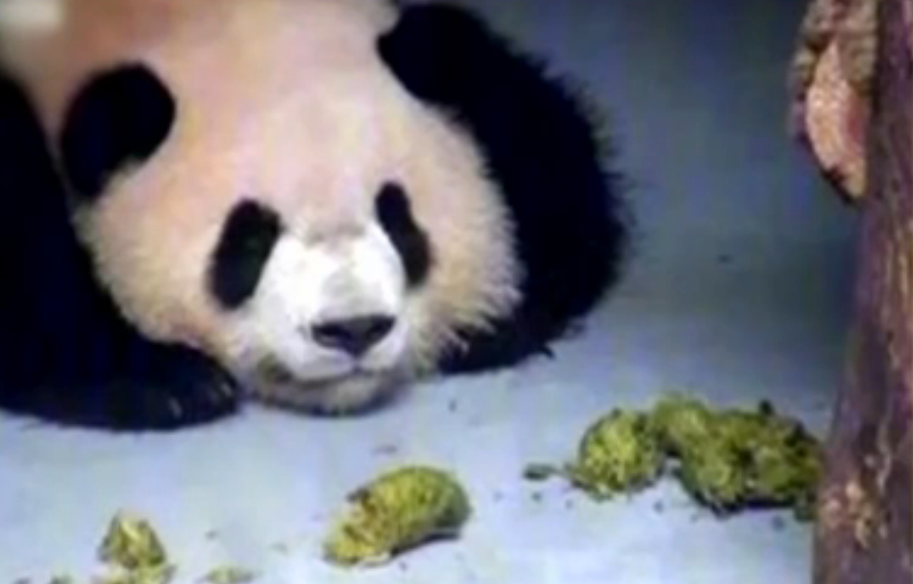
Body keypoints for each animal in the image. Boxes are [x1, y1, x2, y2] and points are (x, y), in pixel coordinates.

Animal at [0, 0, 630, 431]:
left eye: (399, 218)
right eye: (248, 240)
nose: (354, 329)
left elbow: (546, 146)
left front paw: (487, 324)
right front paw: (163, 380)